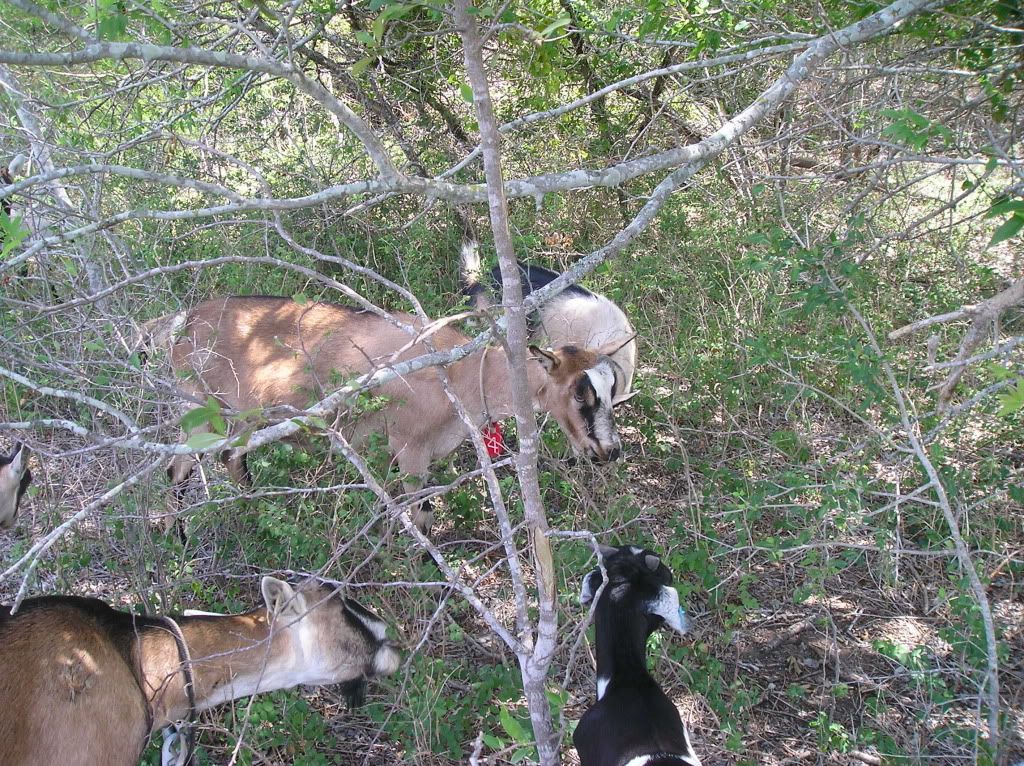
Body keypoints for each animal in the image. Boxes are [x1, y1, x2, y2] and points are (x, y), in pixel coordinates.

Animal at [154, 296, 628, 533]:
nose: (609, 450)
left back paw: (251, 516)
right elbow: (421, 515)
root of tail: (181, 322)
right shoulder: (410, 447)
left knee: (229, 459)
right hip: (200, 408)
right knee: (181, 469)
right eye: (581, 393)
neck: (458, 372)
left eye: (610, 388)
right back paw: (176, 540)